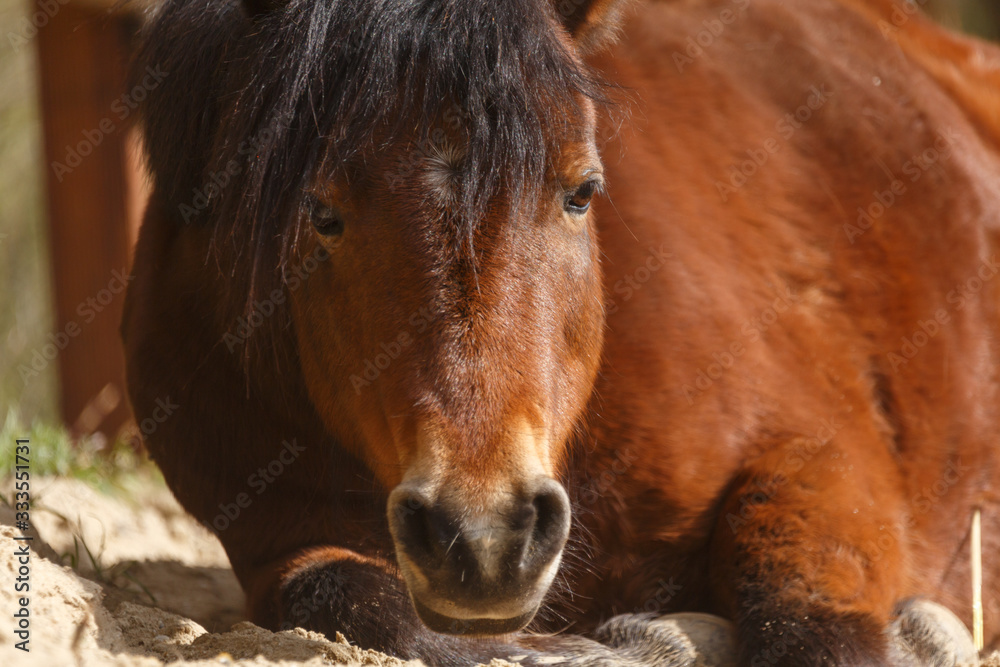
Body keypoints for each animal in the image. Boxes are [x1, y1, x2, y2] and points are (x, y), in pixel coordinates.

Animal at [122, 0, 1000, 664]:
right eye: (322, 213)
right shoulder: (278, 532)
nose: (485, 537)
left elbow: (811, 628)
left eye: (581, 191)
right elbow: (343, 592)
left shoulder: (824, 466)